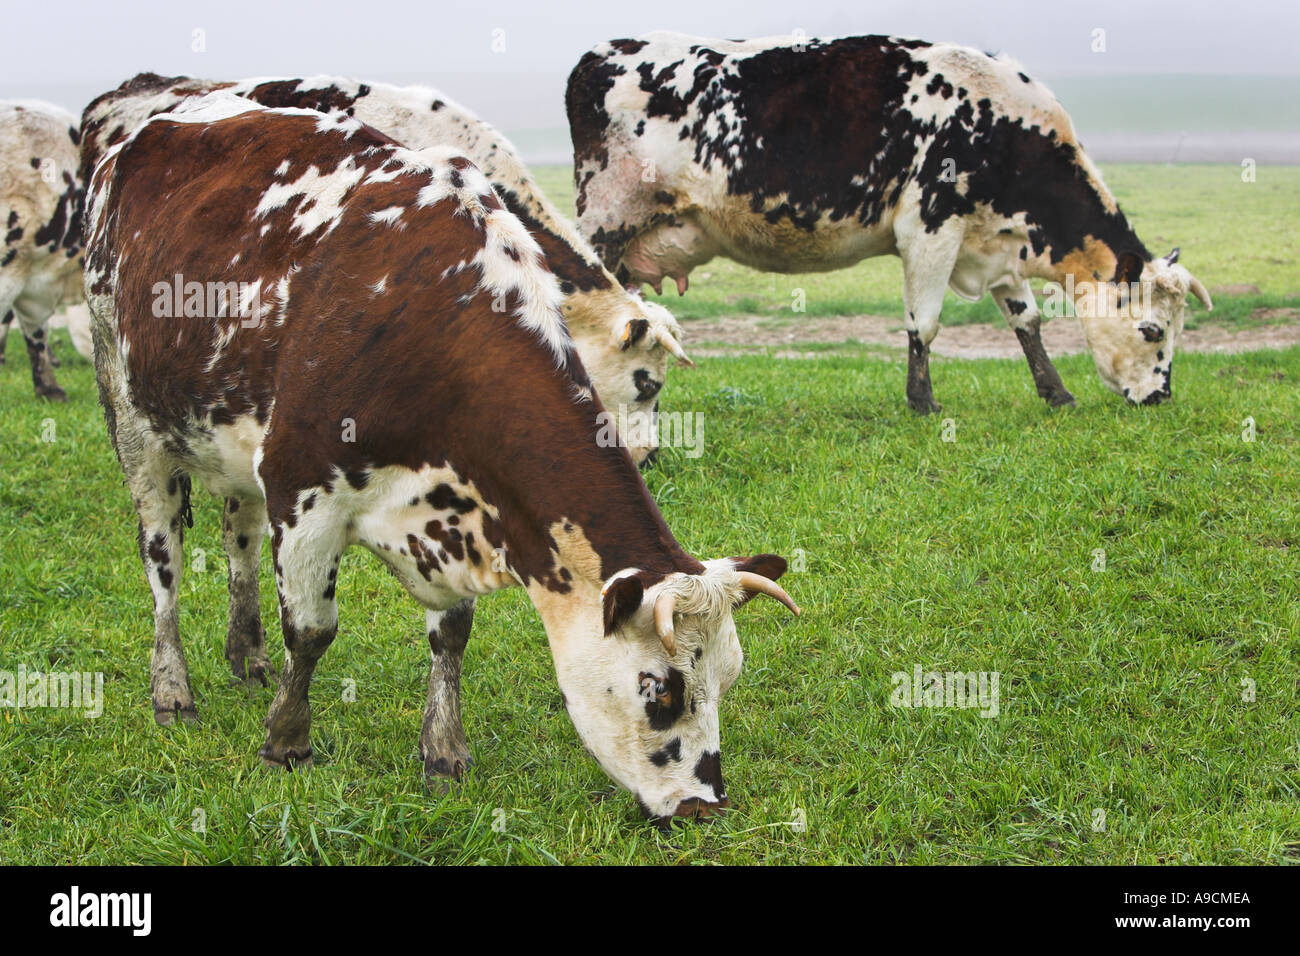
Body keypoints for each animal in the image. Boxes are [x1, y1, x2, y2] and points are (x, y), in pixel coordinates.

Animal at [569, 31, 1216, 413]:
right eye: (1152, 331)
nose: (1161, 396)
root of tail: (609, 50)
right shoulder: (931, 226)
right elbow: (923, 323)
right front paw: (923, 402)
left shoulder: (996, 243)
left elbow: (1027, 321)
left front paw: (1055, 392)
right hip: (603, 220)